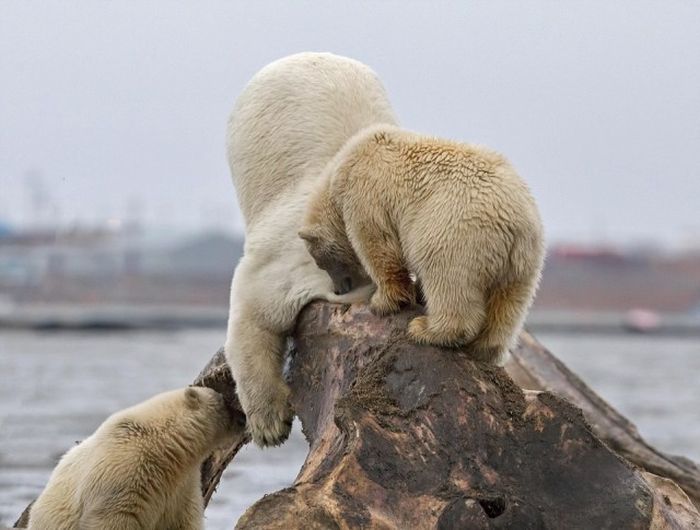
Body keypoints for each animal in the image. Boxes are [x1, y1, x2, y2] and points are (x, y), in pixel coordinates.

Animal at [298, 125, 544, 364]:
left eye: (321, 262)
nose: (339, 290)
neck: (341, 169)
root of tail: (517, 223)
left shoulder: (365, 194)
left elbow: (378, 244)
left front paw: (382, 302)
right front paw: (412, 293)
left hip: (456, 231)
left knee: (446, 276)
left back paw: (426, 329)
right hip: (524, 264)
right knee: (508, 306)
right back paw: (484, 349)